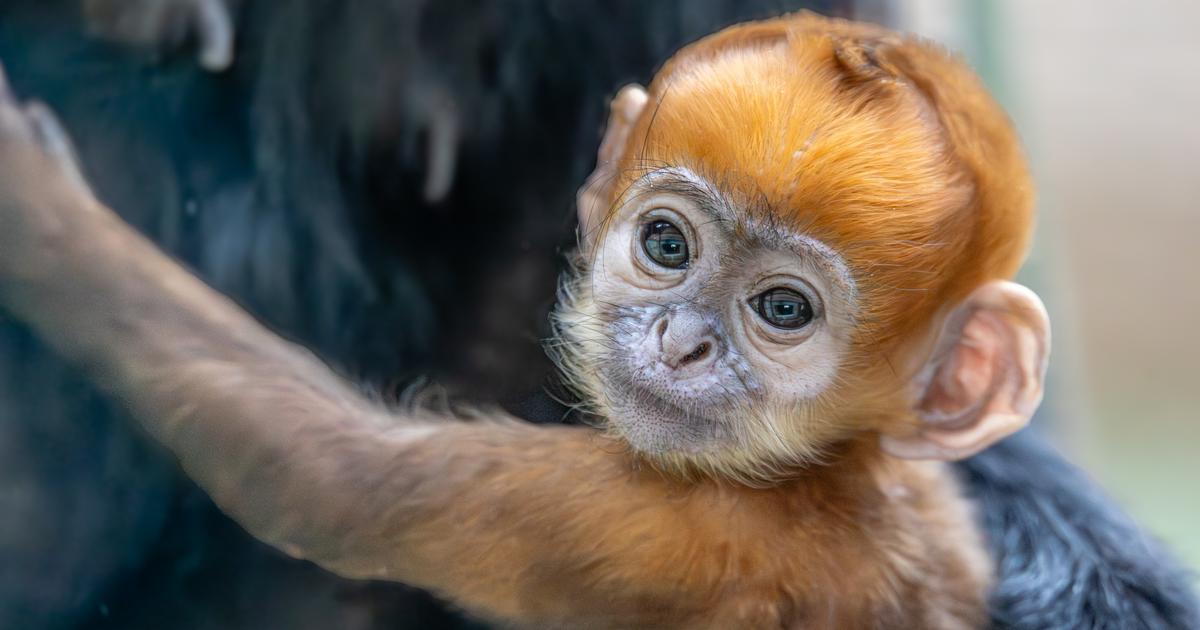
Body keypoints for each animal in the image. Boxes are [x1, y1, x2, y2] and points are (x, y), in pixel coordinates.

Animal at [0, 11, 1067, 627]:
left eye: (783, 309)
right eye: (668, 245)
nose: (683, 343)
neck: (834, 471)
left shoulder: (682, 528)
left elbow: (316, 470)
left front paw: (39, 212)